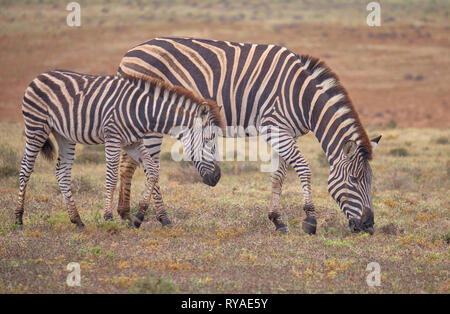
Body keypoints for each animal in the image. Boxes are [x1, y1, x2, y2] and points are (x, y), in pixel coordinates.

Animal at [15, 70, 223, 228]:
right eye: (208, 140)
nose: (216, 177)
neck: (143, 111)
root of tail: (39, 76)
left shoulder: (133, 142)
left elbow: (153, 171)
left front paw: (138, 217)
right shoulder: (113, 138)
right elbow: (112, 176)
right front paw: (108, 217)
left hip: (64, 135)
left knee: (62, 172)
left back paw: (77, 220)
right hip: (36, 127)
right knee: (26, 168)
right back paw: (18, 219)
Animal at [118, 37, 382, 233]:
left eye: (371, 181)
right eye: (355, 180)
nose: (369, 227)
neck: (303, 99)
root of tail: (130, 52)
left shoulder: (286, 132)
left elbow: (279, 175)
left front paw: (277, 220)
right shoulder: (275, 128)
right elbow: (303, 168)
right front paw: (309, 220)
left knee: (127, 163)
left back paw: (124, 214)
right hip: (149, 119)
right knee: (151, 167)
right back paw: (161, 218)